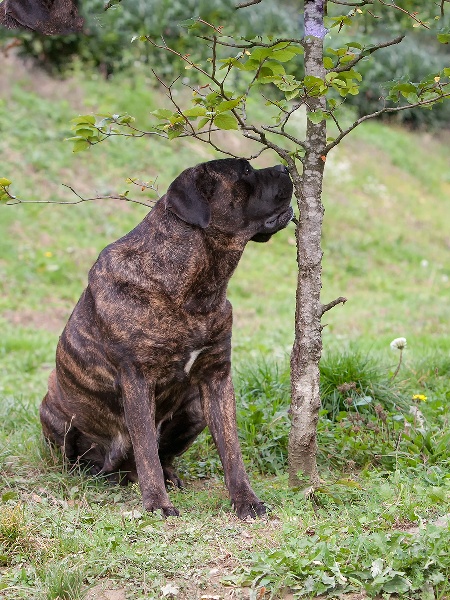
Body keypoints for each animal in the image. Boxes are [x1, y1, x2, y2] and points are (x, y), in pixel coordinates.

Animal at [40, 159, 294, 520]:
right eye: (244, 171)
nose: (285, 166)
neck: (194, 292)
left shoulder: (217, 376)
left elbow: (231, 450)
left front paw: (246, 500)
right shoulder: (136, 379)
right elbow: (146, 449)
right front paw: (158, 505)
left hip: (195, 408)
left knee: (164, 457)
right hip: (53, 412)